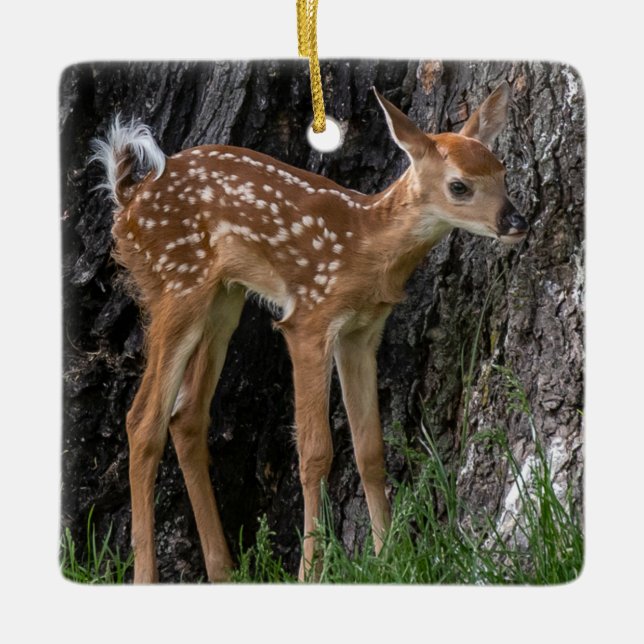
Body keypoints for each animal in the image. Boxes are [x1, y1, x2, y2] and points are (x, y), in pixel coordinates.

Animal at [91, 81, 528, 583]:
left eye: (502, 172)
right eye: (460, 185)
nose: (517, 222)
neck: (366, 246)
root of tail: (126, 200)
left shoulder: (361, 332)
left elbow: (370, 449)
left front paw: (387, 557)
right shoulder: (308, 320)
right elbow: (315, 453)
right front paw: (310, 570)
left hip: (223, 299)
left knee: (187, 417)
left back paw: (223, 570)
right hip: (176, 283)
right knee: (144, 420)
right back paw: (147, 574)